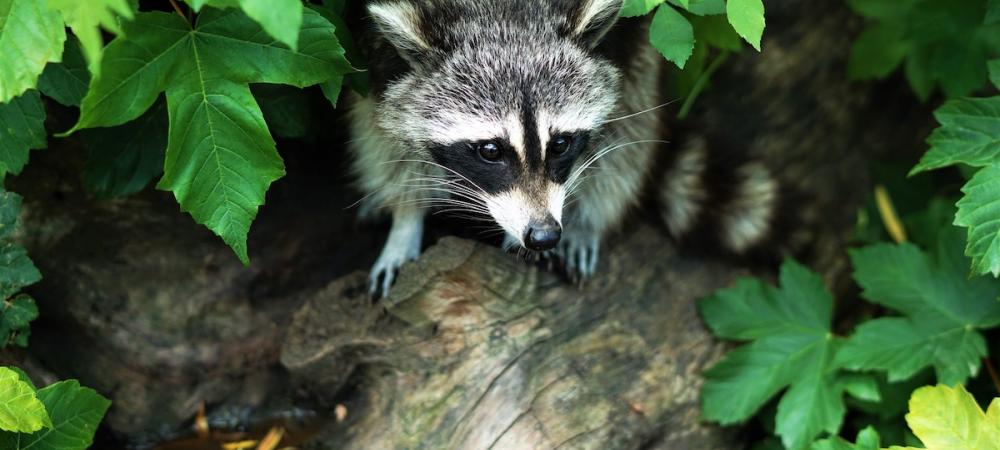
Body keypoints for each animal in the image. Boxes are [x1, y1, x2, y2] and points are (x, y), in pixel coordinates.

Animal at [350, 0, 780, 298]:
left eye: (560, 144)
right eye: (490, 150)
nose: (543, 235)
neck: (499, 18)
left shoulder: (623, 37)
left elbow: (621, 122)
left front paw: (582, 217)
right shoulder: (376, 54)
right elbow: (382, 134)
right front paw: (406, 218)